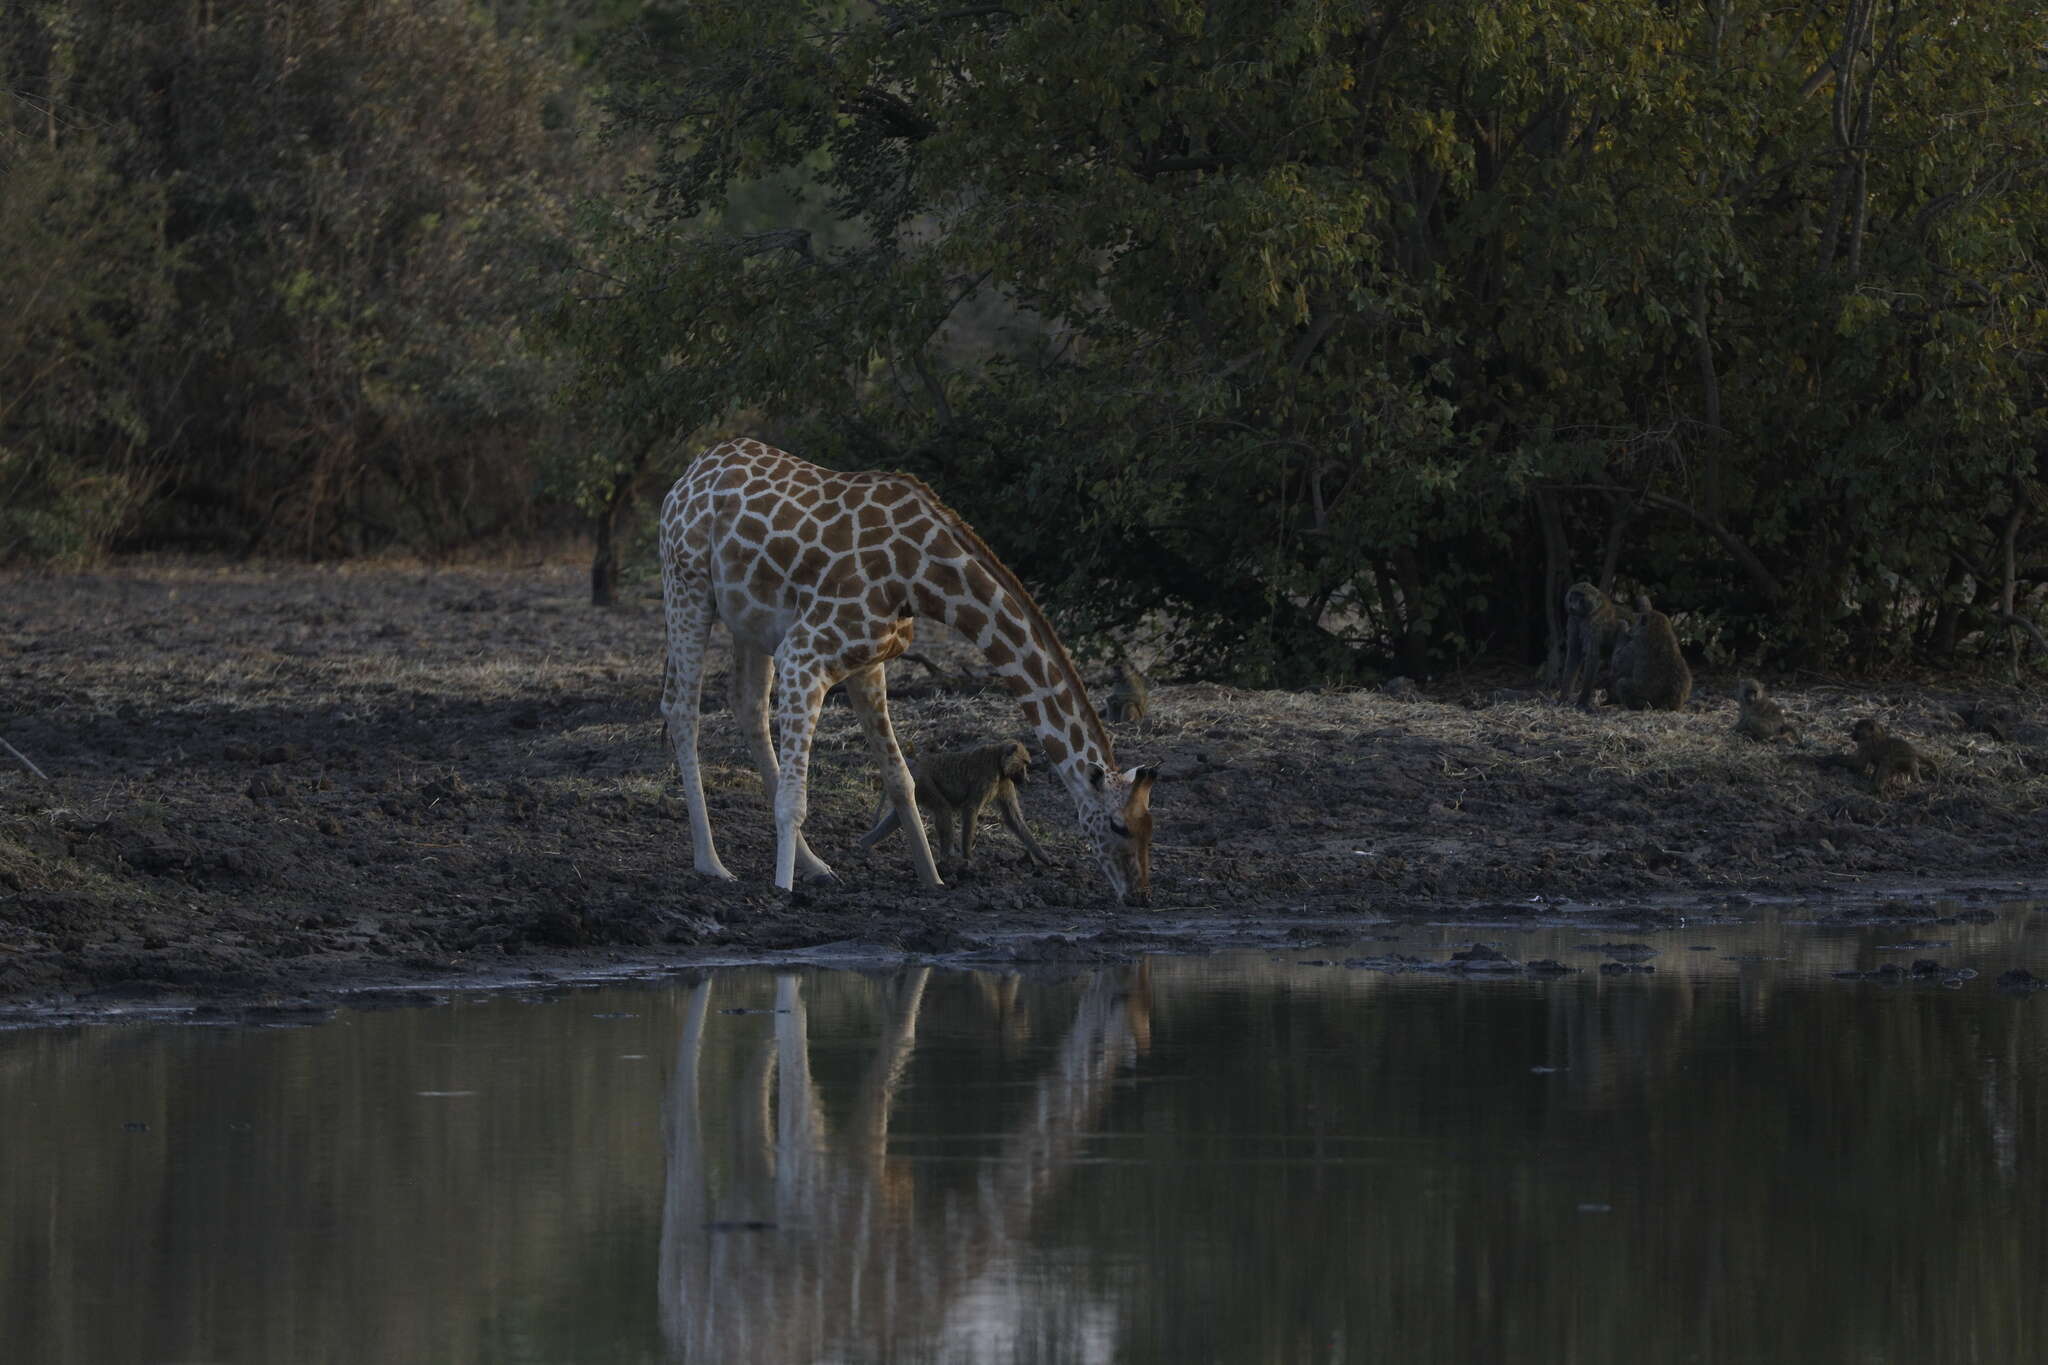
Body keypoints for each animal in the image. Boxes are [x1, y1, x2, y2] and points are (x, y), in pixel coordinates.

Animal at [659, 439, 1163, 908]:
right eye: (1118, 825)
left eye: (1150, 825)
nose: (1139, 893)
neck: (923, 579)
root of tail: (690, 472)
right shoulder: (804, 654)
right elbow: (794, 800)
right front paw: (782, 890)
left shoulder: (868, 663)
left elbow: (902, 778)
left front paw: (933, 880)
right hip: (687, 585)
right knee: (682, 708)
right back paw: (712, 864)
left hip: (751, 620)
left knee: (748, 707)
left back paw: (816, 866)